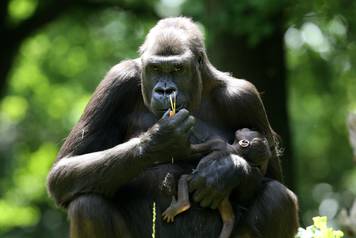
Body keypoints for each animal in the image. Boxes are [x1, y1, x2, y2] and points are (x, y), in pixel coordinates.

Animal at [46, 17, 298, 237]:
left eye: (178, 68)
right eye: (155, 68)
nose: (165, 90)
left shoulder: (245, 96)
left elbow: (268, 174)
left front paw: (227, 170)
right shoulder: (118, 80)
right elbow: (63, 169)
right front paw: (161, 141)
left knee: (278, 197)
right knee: (87, 204)